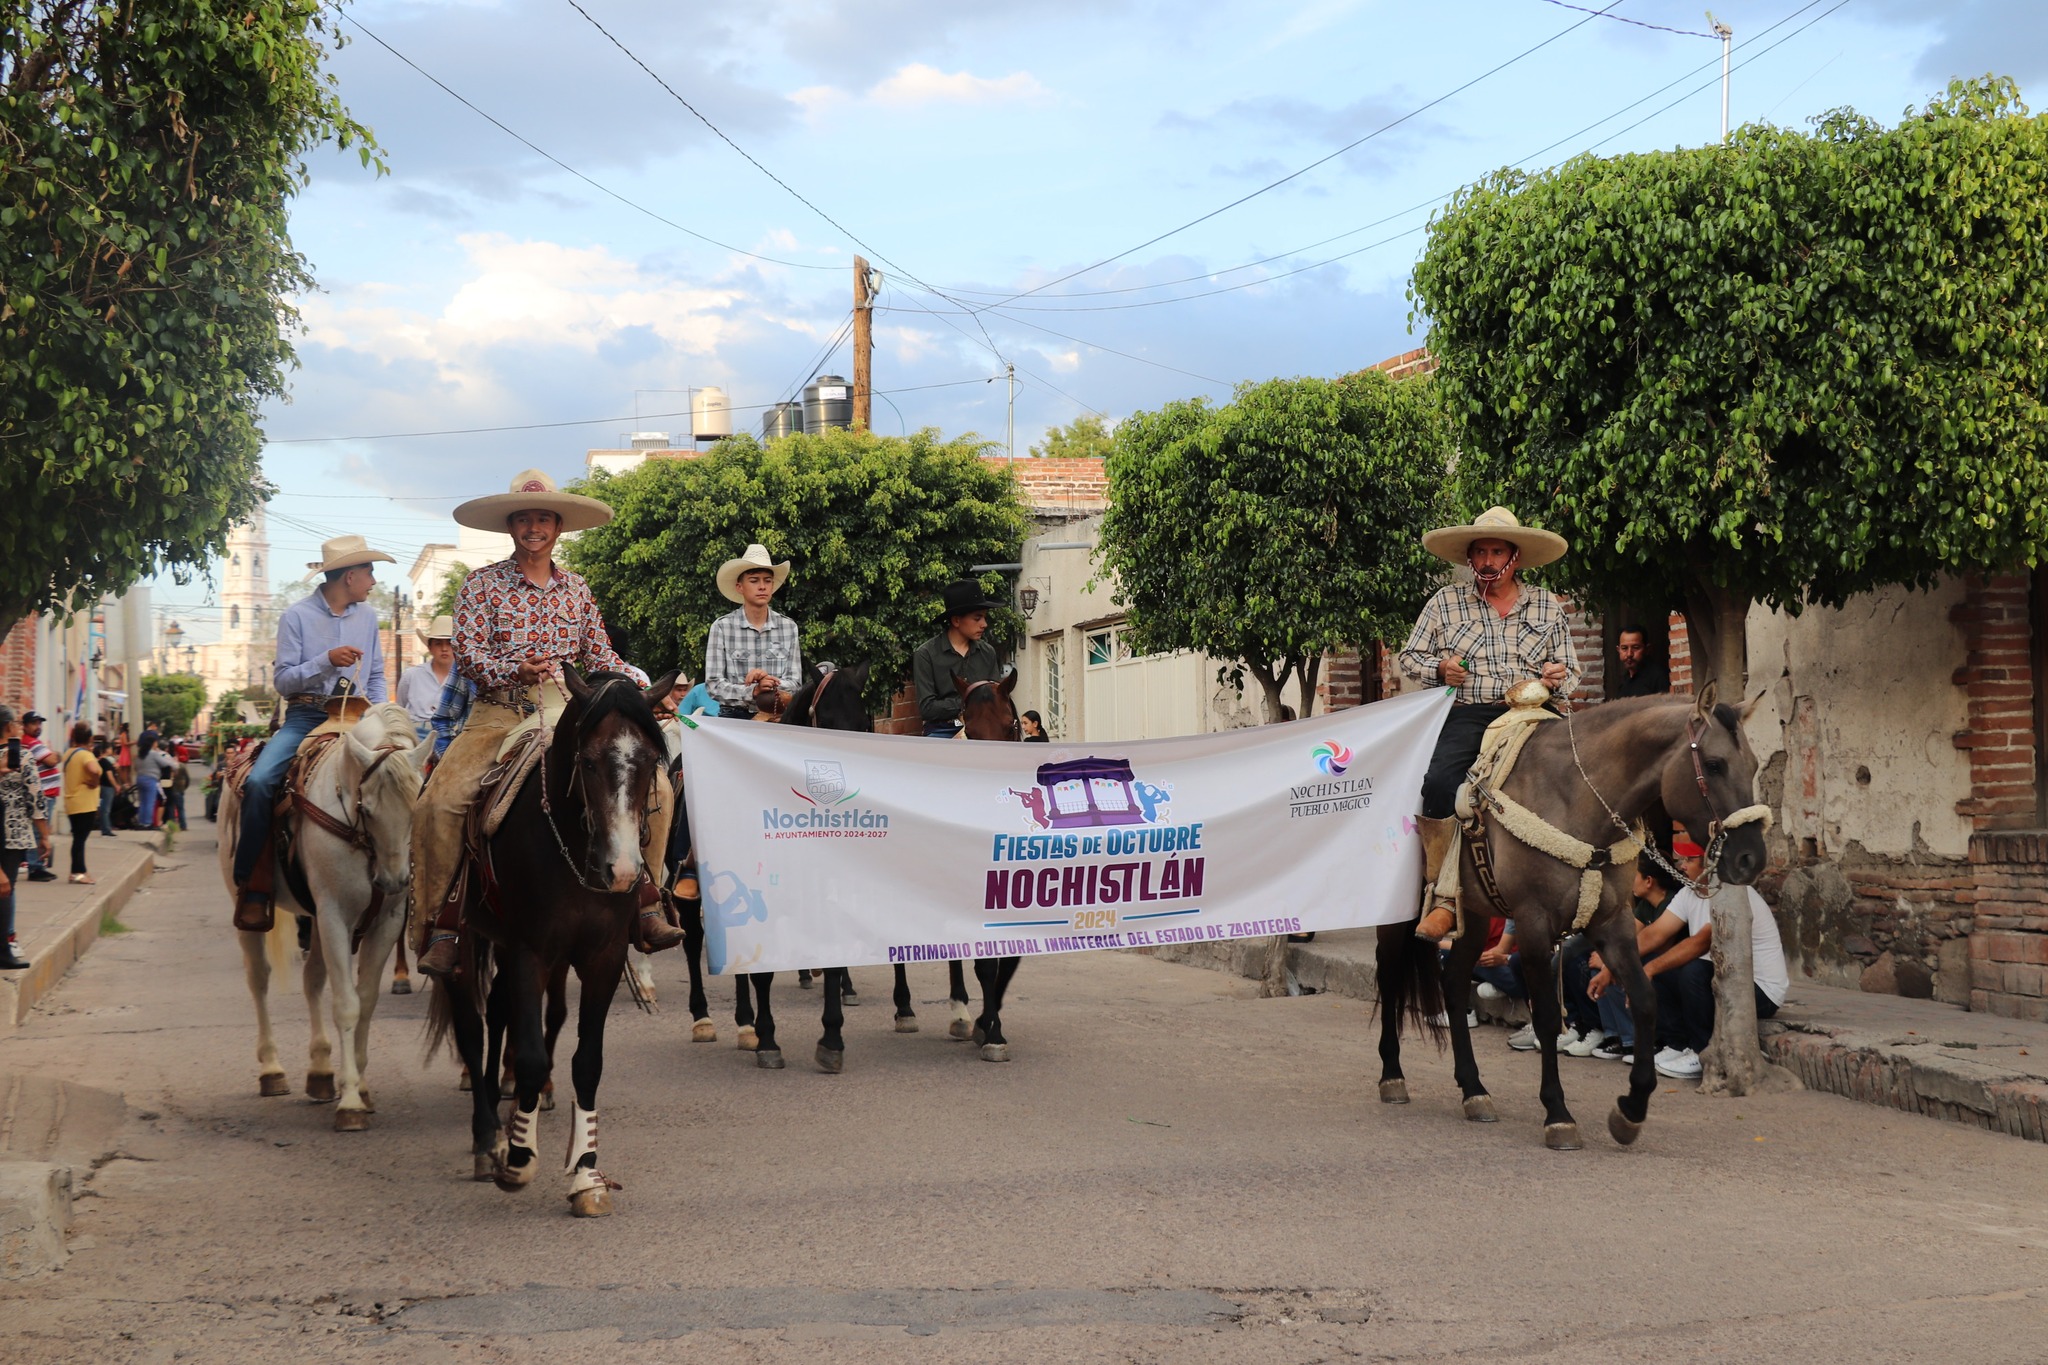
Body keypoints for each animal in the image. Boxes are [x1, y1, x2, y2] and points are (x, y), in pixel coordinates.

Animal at [218, 703, 434, 1129]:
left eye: (416, 804)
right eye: (367, 808)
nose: (395, 880)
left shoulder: (384, 923)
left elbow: (365, 999)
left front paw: (361, 1088)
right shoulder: (336, 916)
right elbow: (347, 1004)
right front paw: (350, 1102)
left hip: (316, 918)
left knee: (312, 979)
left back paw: (319, 1072)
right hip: (251, 909)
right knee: (259, 980)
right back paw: (272, 1070)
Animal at [425, 667, 675, 1219]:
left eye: (651, 760)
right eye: (588, 760)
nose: (622, 871)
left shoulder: (602, 959)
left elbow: (587, 1061)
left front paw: (586, 1175)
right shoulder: (530, 952)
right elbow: (534, 1056)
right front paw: (517, 1161)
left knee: (499, 1014)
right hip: (467, 941)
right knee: (472, 1028)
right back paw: (486, 1140)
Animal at [1376, 683, 1777, 1154]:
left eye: (1753, 765)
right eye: (1713, 765)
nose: (1750, 859)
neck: (1576, 798)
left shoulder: (1613, 922)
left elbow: (1645, 1001)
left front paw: (1630, 1111)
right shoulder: (1533, 924)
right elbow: (1548, 1016)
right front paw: (1558, 1115)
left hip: (1473, 913)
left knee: (1454, 982)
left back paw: (1474, 1091)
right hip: (1394, 908)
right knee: (1389, 976)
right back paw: (1392, 1076)